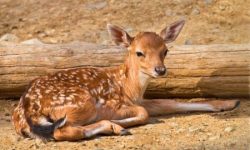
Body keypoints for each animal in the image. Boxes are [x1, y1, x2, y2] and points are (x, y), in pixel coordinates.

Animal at [12, 19, 239, 141]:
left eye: (165, 50)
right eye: (139, 52)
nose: (160, 70)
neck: (128, 87)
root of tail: (27, 111)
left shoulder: (139, 100)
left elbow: (171, 103)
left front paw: (230, 103)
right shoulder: (113, 104)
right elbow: (144, 113)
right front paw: (119, 123)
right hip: (82, 102)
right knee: (62, 132)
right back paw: (115, 127)